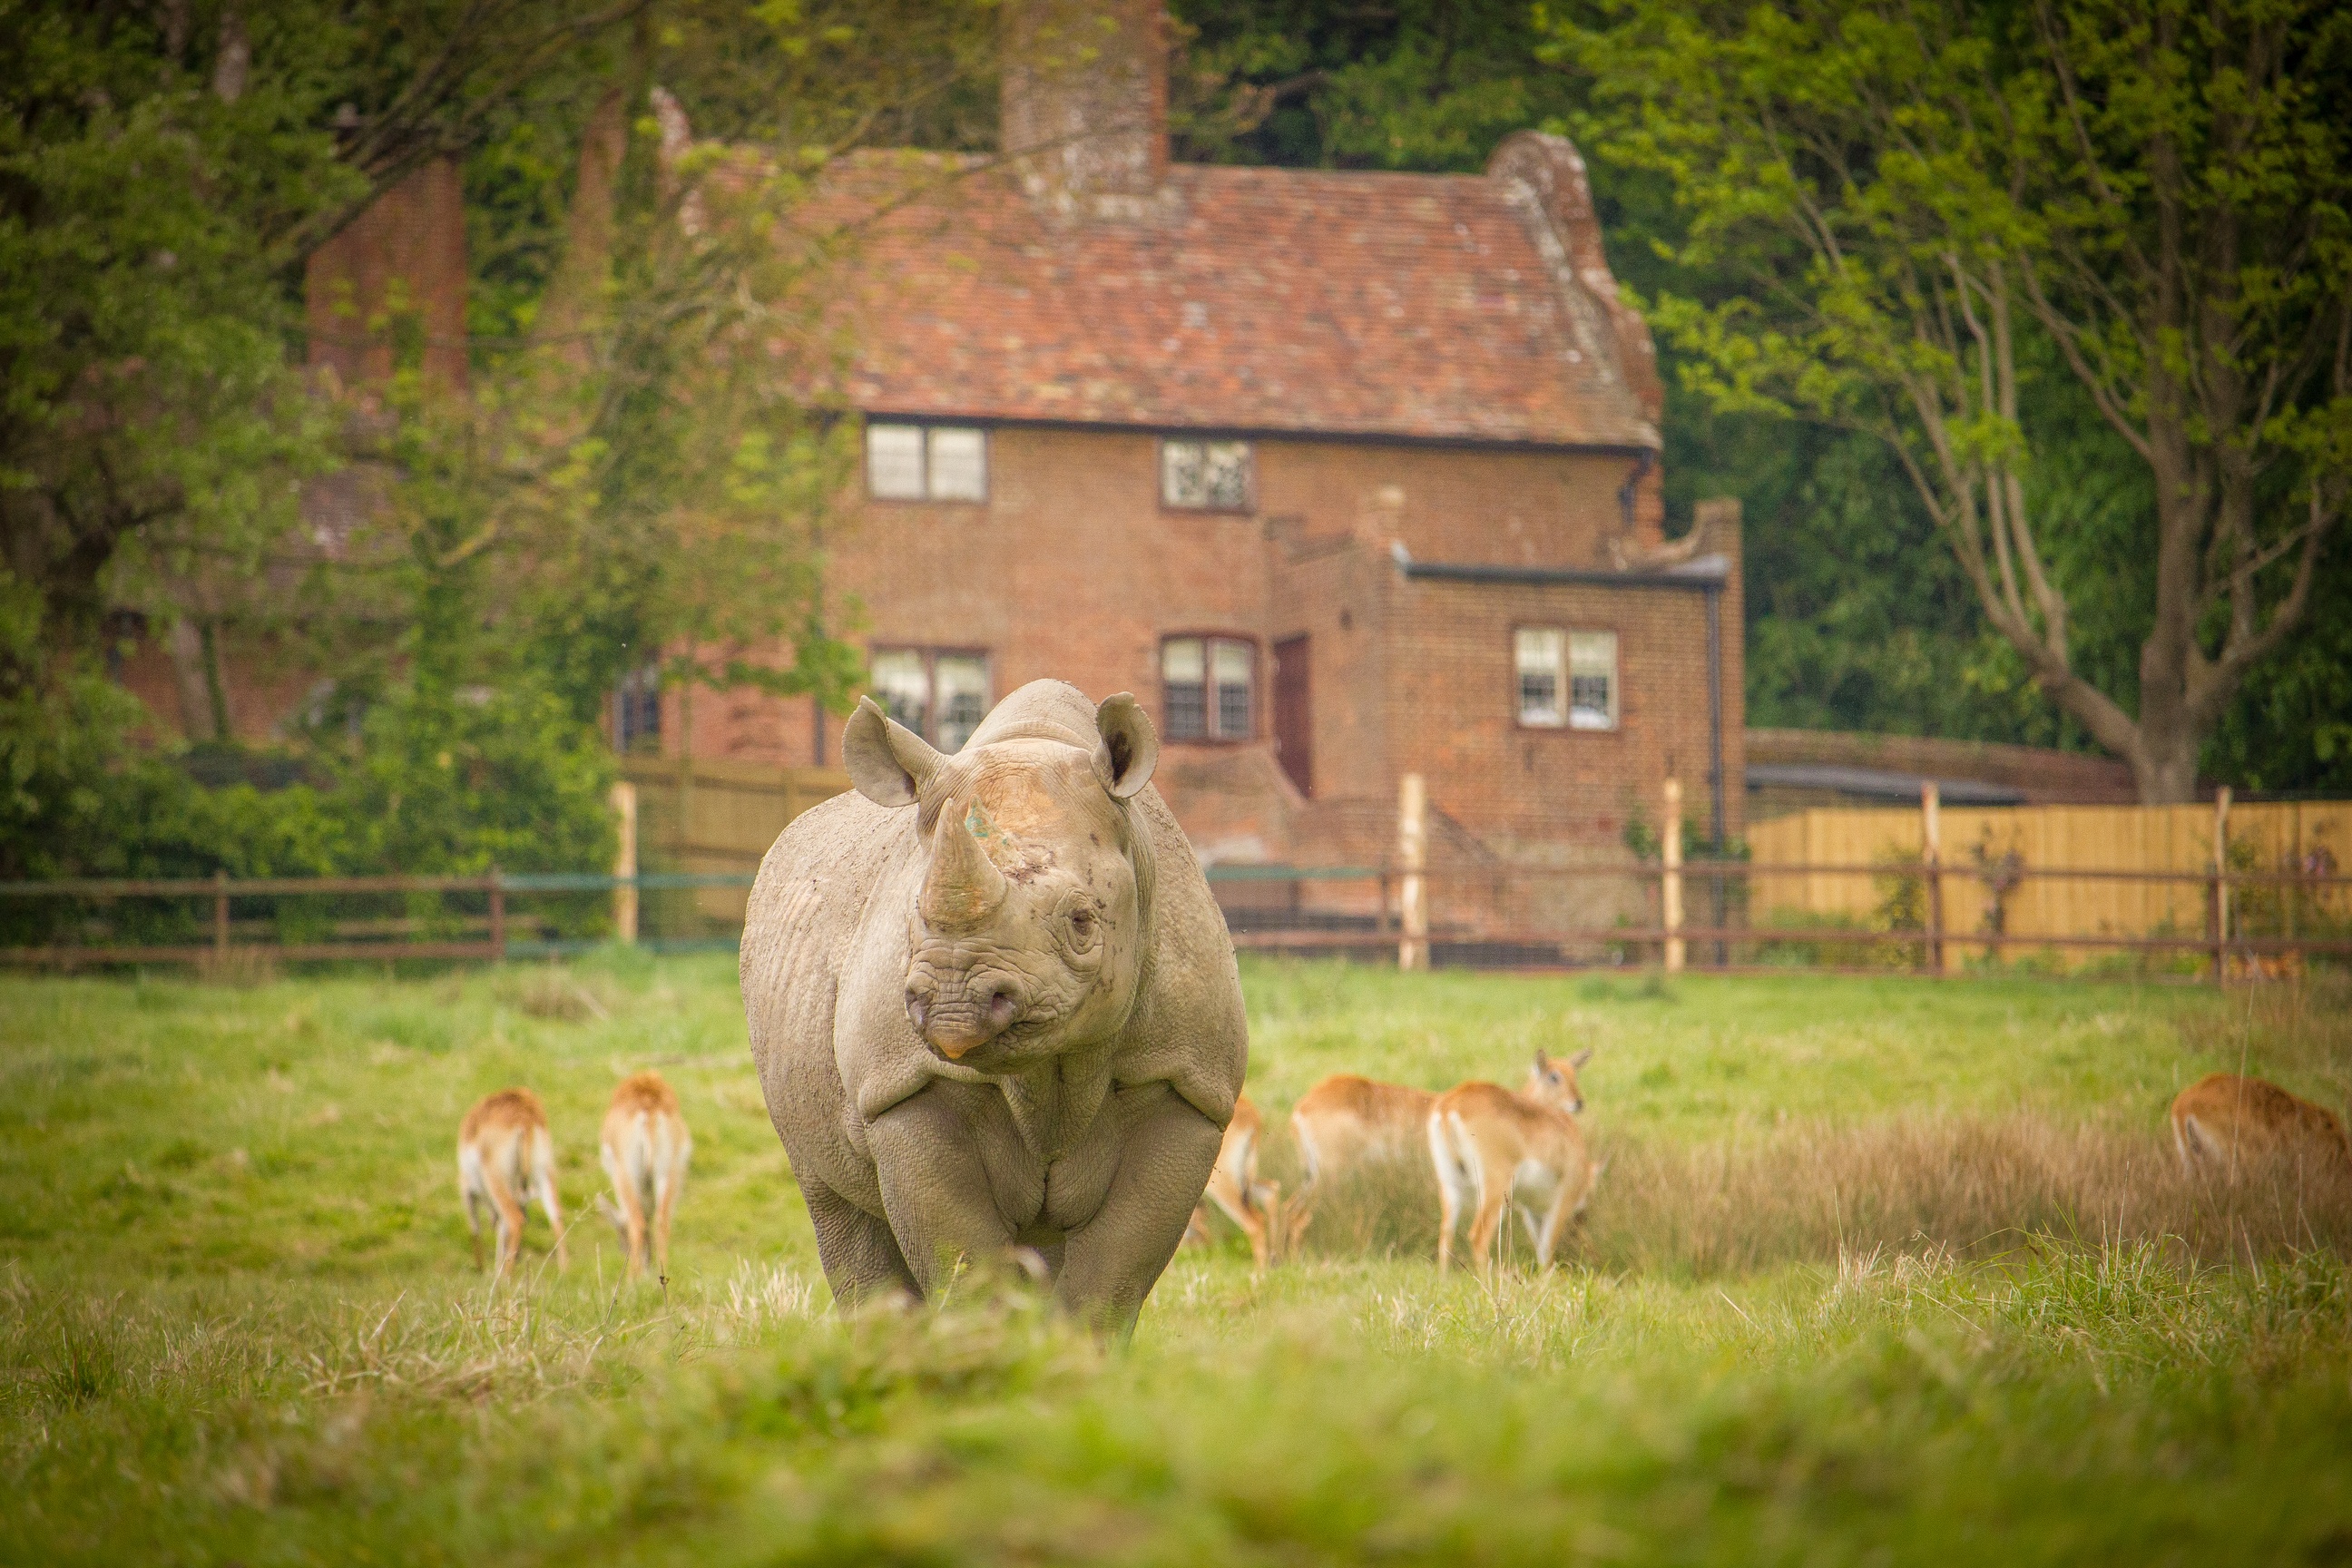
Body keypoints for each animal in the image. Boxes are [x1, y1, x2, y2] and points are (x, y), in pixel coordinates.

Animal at [740, 679, 1248, 1334]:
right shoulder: (905, 1089)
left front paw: (1074, 1355)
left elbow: (1112, 1279)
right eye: (914, 915)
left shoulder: (1187, 1087)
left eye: (1082, 921)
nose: (954, 1002)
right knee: (833, 1201)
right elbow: (965, 1265)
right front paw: (992, 1348)